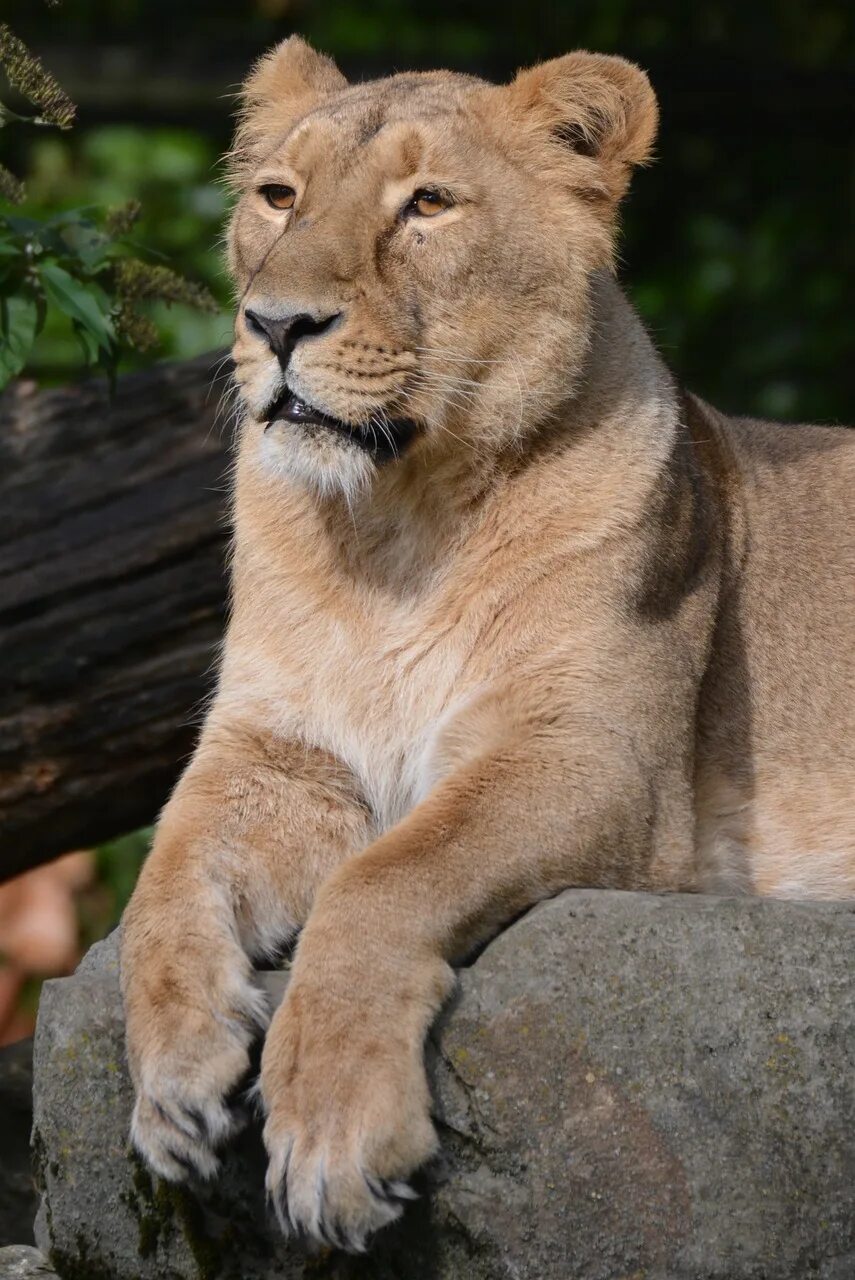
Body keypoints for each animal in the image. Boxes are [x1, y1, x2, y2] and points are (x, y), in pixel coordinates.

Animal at [120, 38, 855, 1253]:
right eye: (278, 196)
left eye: (426, 205)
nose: (276, 325)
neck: (393, 530)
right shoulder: (279, 754)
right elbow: (161, 884)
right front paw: (175, 1078)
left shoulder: (593, 757)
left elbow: (382, 879)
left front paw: (332, 1134)